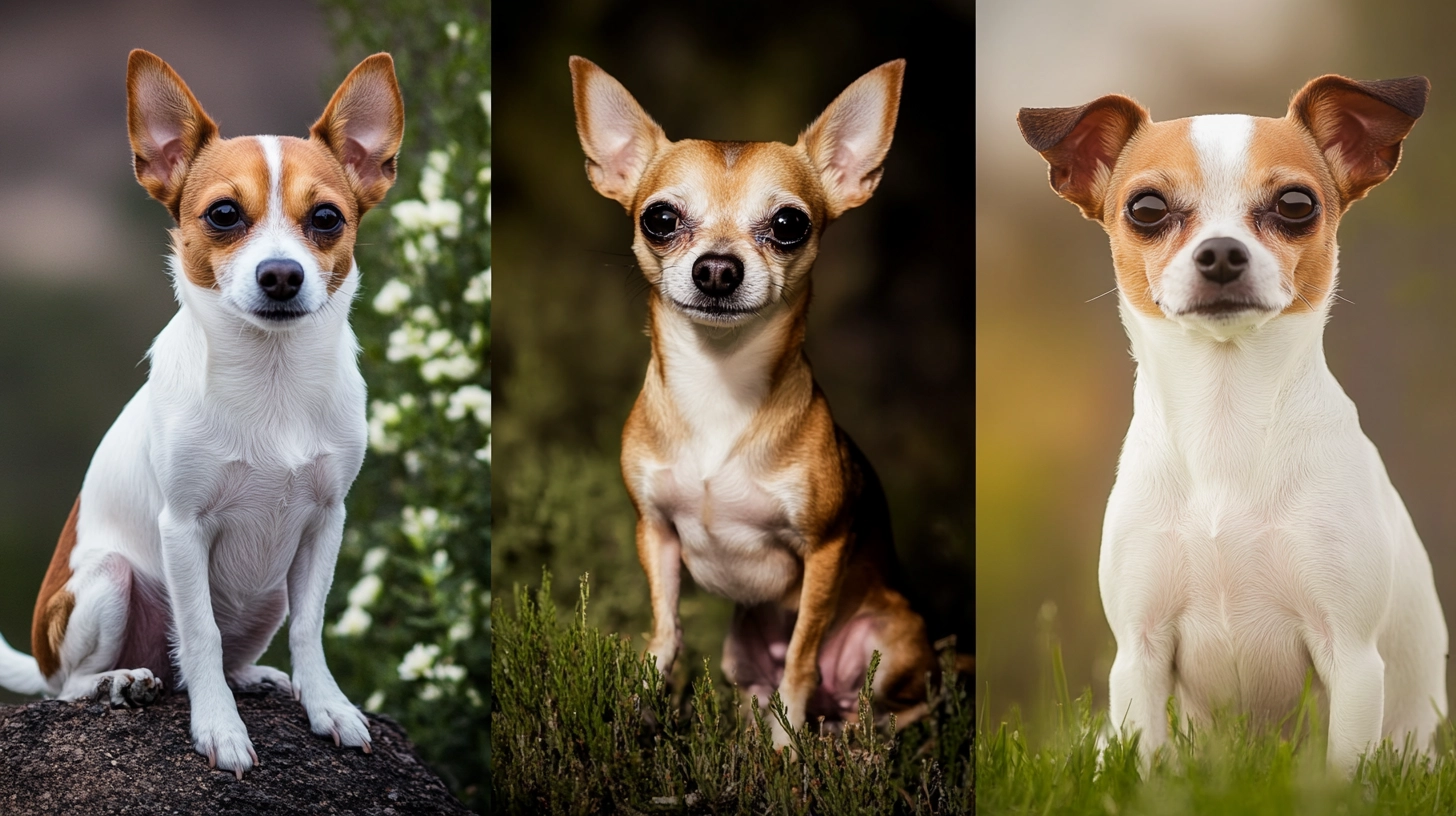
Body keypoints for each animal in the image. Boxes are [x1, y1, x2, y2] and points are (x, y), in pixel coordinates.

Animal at [0, 49, 404, 775]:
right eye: (222, 214)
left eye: (327, 218)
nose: (281, 275)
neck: (271, 379)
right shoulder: (183, 529)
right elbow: (202, 632)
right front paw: (219, 726)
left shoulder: (326, 522)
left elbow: (310, 629)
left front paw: (326, 703)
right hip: (107, 580)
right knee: (74, 685)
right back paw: (120, 683)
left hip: (269, 593)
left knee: (224, 652)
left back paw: (258, 678)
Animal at [567, 55, 931, 746]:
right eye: (660, 219)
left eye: (789, 225)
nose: (716, 268)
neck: (718, 388)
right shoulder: (654, 533)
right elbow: (666, 634)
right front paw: (637, 711)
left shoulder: (825, 552)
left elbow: (801, 660)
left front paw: (788, 750)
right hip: (740, 651)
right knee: (766, 692)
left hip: (894, 643)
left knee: (892, 712)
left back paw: (845, 748)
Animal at [1019, 76, 1450, 769]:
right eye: (1145, 208)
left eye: (1297, 204)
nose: (1221, 252)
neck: (1225, 421)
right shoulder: (1138, 655)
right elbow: (1147, 761)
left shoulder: (1353, 657)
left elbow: (1342, 766)